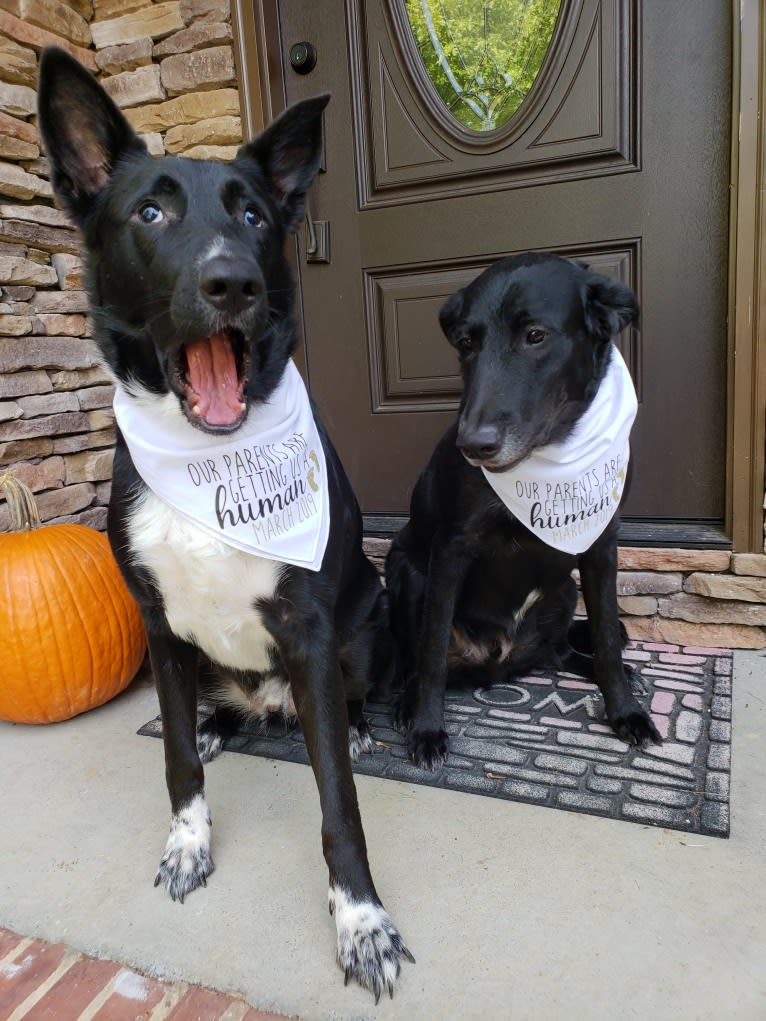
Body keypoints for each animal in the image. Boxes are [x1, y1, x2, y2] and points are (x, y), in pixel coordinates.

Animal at [38, 45, 414, 996]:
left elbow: (338, 803)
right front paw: (187, 843)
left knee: (343, 696)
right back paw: (218, 722)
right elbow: (173, 760)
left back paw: (354, 721)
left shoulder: (309, 628)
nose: (232, 281)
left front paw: (361, 921)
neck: (209, 457)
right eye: (150, 211)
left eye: (252, 213)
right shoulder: (157, 623)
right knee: (217, 711)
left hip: (367, 621)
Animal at [386, 253, 661, 767]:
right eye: (467, 343)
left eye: (535, 335)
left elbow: (608, 640)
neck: (548, 456)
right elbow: (430, 653)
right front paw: (428, 728)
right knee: (415, 661)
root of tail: (499, 662)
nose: (473, 445)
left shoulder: (601, 545)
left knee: (560, 653)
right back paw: (407, 705)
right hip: (407, 572)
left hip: (565, 591)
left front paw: (625, 712)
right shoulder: (450, 549)